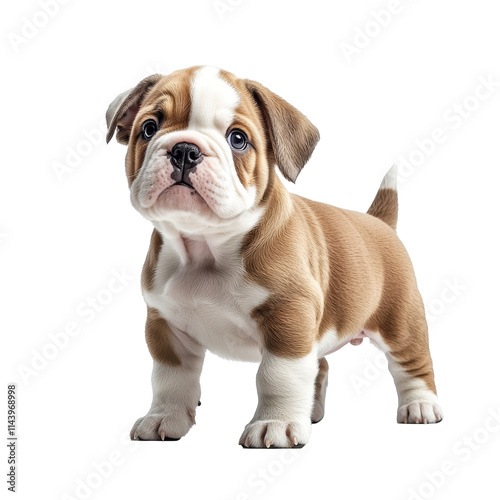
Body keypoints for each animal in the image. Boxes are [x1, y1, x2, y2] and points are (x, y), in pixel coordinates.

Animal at [104, 67, 442, 450]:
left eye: (237, 139)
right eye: (149, 128)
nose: (185, 149)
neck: (205, 246)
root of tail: (379, 221)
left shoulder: (288, 317)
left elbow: (278, 375)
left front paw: (275, 424)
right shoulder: (166, 325)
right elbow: (171, 379)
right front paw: (165, 418)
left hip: (400, 321)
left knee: (412, 363)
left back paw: (420, 406)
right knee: (320, 366)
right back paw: (310, 411)